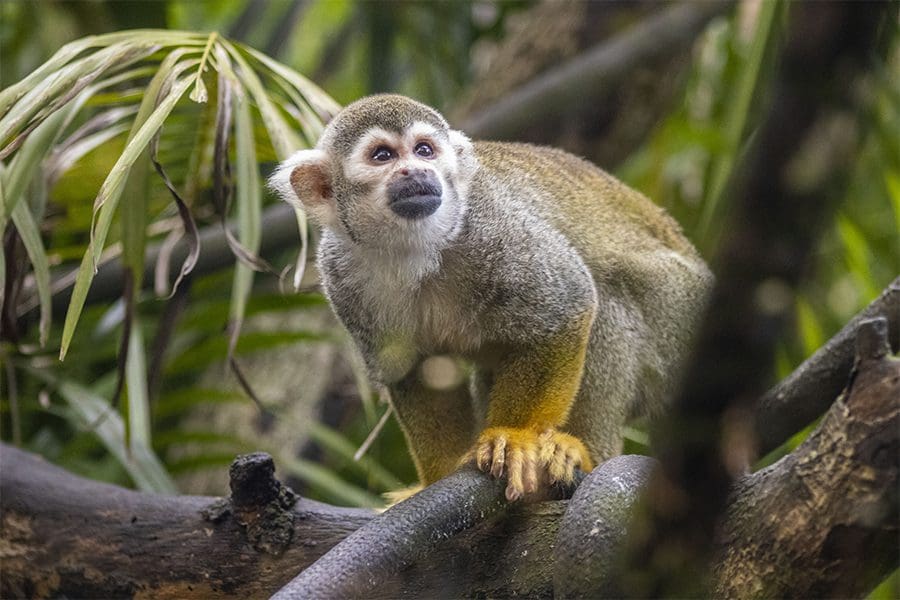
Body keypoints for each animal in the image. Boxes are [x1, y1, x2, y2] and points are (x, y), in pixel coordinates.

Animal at [270, 94, 712, 502]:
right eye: (382, 156)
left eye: (425, 150)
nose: (417, 171)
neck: (414, 248)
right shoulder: (340, 274)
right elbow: (418, 369)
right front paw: (438, 480)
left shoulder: (491, 227)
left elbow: (569, 302)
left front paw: (513, 437)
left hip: (678, 316)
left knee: (608, 293)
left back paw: (585, 454)